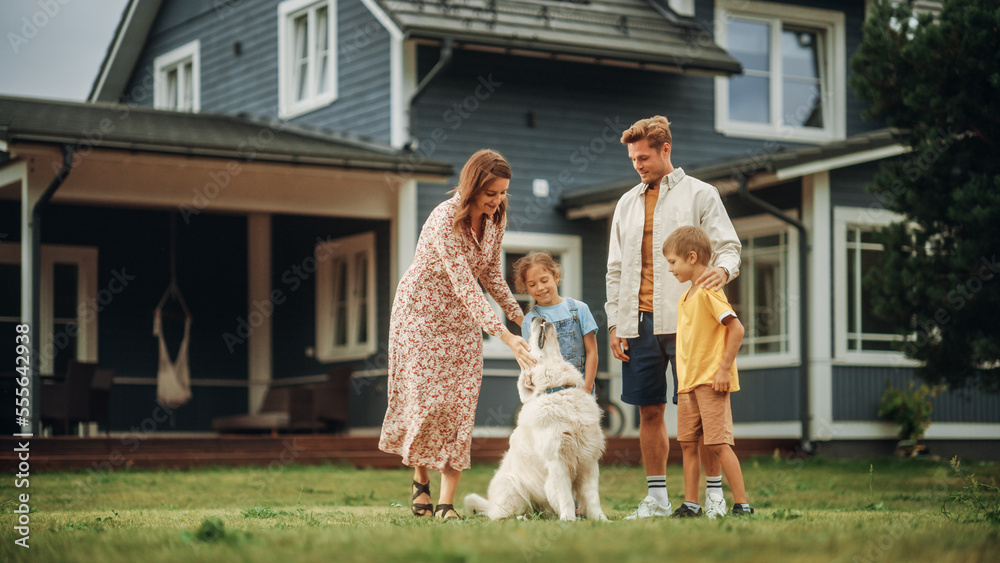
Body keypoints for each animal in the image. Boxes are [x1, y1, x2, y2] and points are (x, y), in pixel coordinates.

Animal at [462, 320, 604, 524]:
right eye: (527, 341)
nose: (538, 317)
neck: (557, 390)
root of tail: (490, 506)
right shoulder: (557, 461)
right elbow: (565, 496)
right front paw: (569, 521)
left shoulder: (589, 459)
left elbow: (593, 497)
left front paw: (602, 520)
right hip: (512, 485)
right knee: (501, 517)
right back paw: (520, 519)